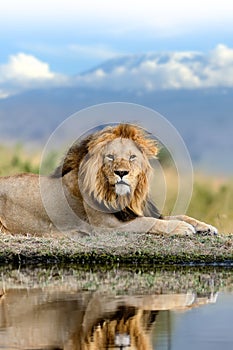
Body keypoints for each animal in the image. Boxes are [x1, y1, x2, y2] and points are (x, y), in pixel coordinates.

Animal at [0, 123, 218, 235]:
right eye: (110, 157)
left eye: (132, 157)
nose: (121, 172)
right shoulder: (105, 226)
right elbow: (149, 222)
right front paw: (182, 228)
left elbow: (179, 215)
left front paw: (205, 226)